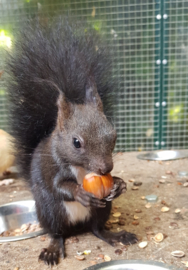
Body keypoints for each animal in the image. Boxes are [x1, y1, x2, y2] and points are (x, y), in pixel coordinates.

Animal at [6, 17, 137, 264]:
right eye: (76, 143)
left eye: (113, 135)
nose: (106, 168)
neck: (83, 169)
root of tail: (77, 227)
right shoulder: (53, 168)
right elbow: (59, 186)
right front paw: (78, 192)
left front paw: (119, 184)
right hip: (50, 211)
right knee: (57, 233)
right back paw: (52, 249)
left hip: (102, 209)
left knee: (97, 229)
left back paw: (116, 236)